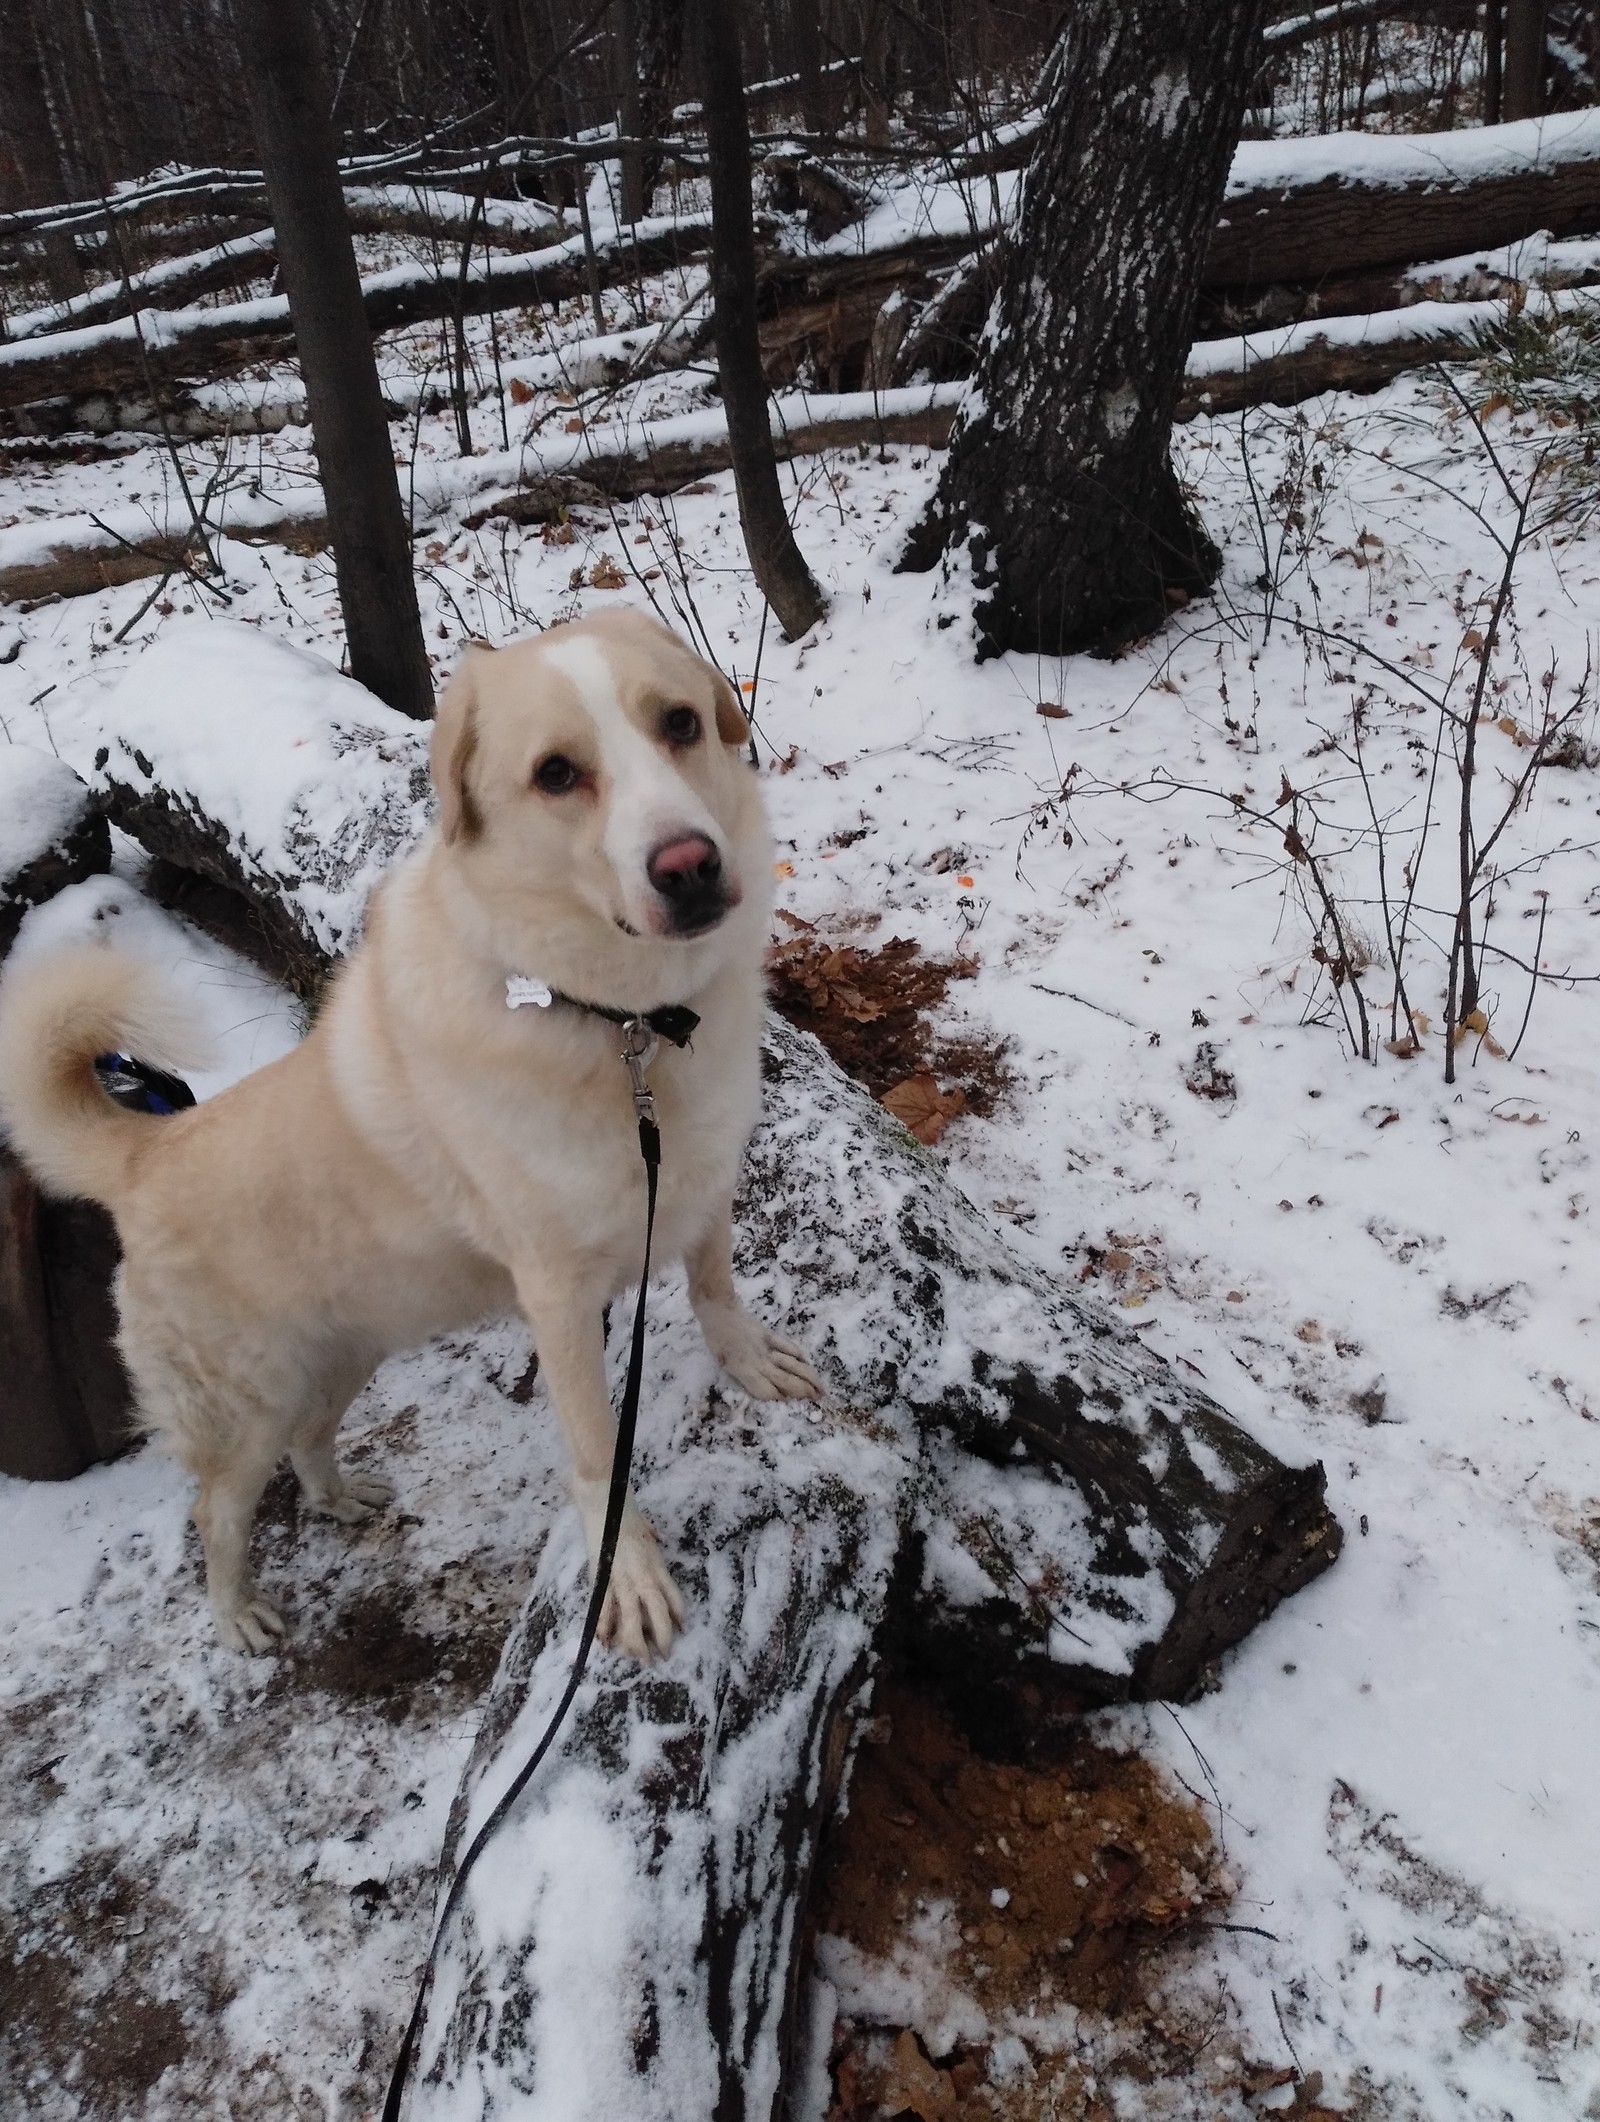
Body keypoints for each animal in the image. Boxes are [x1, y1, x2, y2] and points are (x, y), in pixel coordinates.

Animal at [0, 611, 814, 1655]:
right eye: (557, 774)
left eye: (680, 723)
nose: (691, 867)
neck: (623, 1026)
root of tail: (144, 1154)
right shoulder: (559, 1300)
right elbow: (601, 1457)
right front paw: (626, 1574)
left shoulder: (703, 1186)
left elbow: (716, 1291)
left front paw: (748, 1362)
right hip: (247, 1406)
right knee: (215, 1511)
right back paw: (239, 1615)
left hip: (349, 1350)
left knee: (310, 1441)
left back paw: (340, 1496)